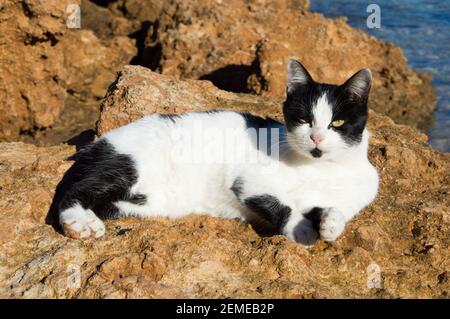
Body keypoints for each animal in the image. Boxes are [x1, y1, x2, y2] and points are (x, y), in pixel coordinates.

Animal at [56, 59, 380, 245]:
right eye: (303, 119)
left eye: (337, 122)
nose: (316, 137)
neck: (322, 169)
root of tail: (98, 143)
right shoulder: (251, 183)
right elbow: (282, 205)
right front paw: (301, 230)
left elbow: (330, 208)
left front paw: (331, 224)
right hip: (129, 163)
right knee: (74, 192)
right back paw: (77, 223)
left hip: (143, 202)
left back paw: (91, 220)